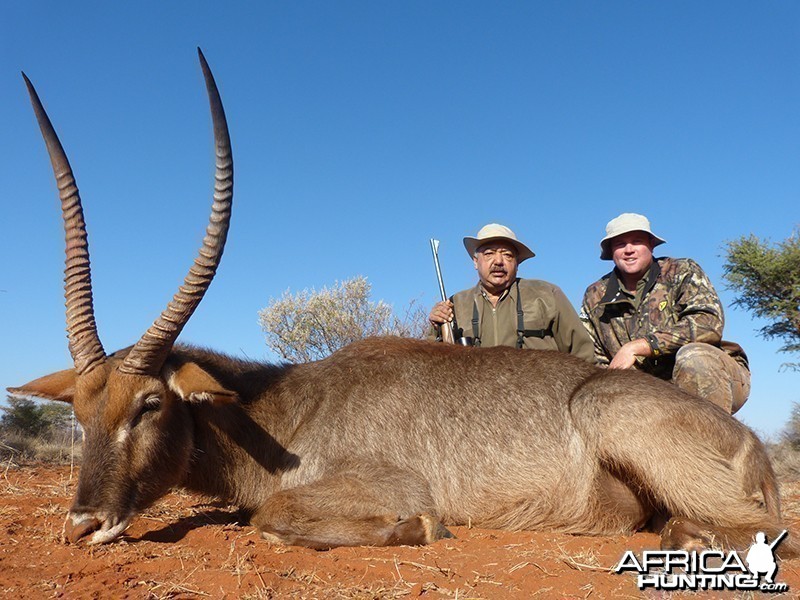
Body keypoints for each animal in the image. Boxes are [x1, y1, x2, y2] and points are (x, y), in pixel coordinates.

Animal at [10, 51, 792, 556]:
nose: (83, 525)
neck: (282, 408)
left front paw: (416, 530)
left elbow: (271, 515)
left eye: (150, 405)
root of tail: (750, 443)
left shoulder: (387, 485)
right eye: (80, 411)